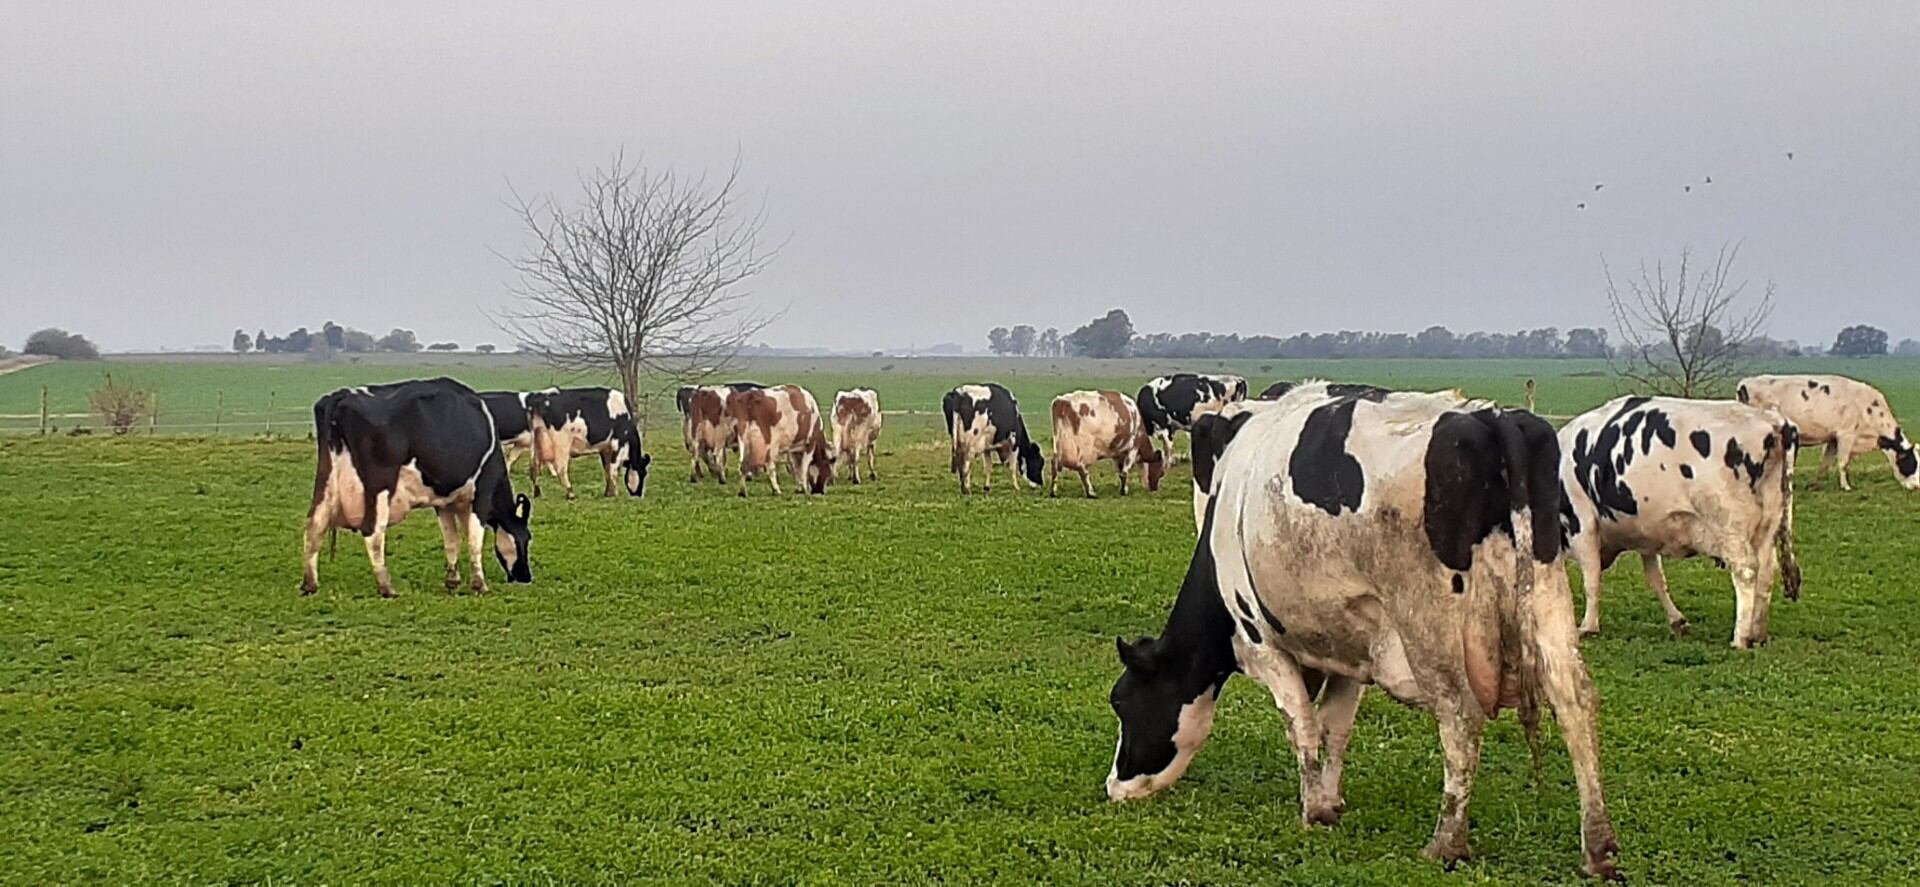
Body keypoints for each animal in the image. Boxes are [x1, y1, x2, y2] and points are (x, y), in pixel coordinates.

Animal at [301, 378, 533, 598]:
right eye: (526, 538)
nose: (526, 577)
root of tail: (341, 396)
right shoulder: (482, 493)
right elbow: (475, 539)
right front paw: (479, 584)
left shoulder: (444, 502)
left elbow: (452, 538)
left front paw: (453, 580)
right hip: (380, 486)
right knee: (373, 532)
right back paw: (387, 587)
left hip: (326, 480)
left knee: (315, 525)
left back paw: (310, 585)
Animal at [1107, 385, 1619, 878]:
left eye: (1123, 703)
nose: (1115, 786)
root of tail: (1492, 418)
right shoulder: (1349, 649)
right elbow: (1335, 726)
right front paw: (1332, 800)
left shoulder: (1262, 644)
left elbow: (1300, 722)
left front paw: (1314, 810)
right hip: (1548, 599)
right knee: (1575, 703)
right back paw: (1598, 848)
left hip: (1428, 626)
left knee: (1459, 718)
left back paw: (1446, 842)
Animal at [1561, 396, 1801, 648]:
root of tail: (1774, 421)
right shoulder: (1647, 533)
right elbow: (1656, 579)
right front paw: (1677, 620)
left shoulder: (1582, 523)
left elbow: (1591, 576)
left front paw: (1588, 626)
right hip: (1768, 523)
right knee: (1766, 571)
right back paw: (1758, 633)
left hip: (1728, 523)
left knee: (1745, 570)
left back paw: (1740, 638)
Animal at [1737, 374, 1919, 492]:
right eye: (1911, 463)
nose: (1917, 487)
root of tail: (1745, 383)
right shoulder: (1846, 435)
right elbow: (1843, 463)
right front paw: (1846, 487)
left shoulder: (1833, 439)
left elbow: (1825, 463)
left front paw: (1814, 485)